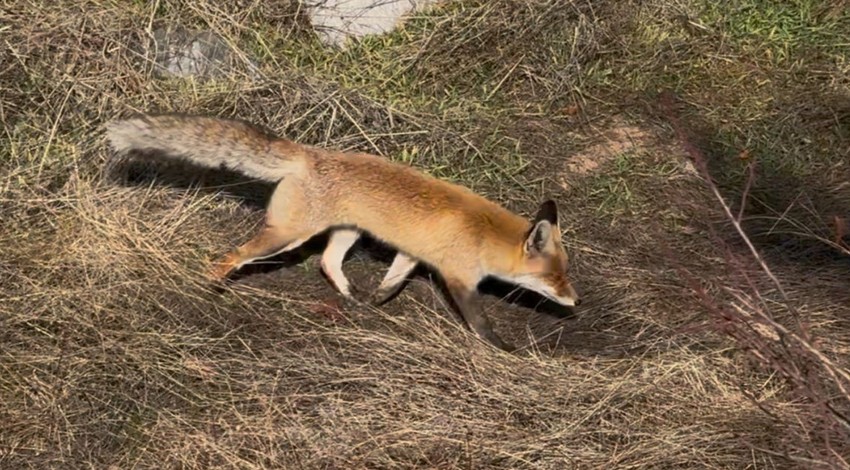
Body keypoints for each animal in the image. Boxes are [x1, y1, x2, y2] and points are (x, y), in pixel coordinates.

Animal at [106, 114, 580, 348]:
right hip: (287, 235)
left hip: (345, 234)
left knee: (326, 263)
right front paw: (501, 348)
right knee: (234, 255)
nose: (575, 301)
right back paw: (215, 283)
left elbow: (393, 281)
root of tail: (311, 153)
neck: (483, 232)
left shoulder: (413, 254)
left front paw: (377, 301)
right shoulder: (458, 277)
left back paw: (351, 297)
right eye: (554, 277)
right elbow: (479, 321)